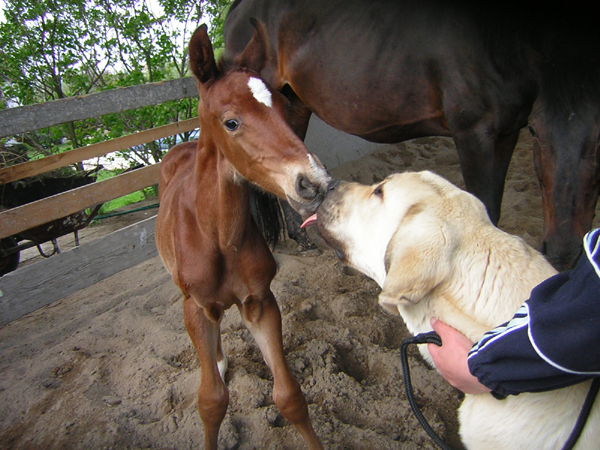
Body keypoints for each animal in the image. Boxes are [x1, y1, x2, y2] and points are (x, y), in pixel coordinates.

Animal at [155, 24, 328, 450]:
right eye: (231, 122)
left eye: (284, 108)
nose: (314, 182)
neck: (219, 237)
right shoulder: (196, 307)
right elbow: (211, 401)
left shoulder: (260, 302)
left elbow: (289, 396)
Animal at [225, 0, 600, 270]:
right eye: (536, 131)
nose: (563, 252)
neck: (498, 40)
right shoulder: (476, 135)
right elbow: (486, 210)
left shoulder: (506, 133)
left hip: (294, 106)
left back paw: (302, 240)